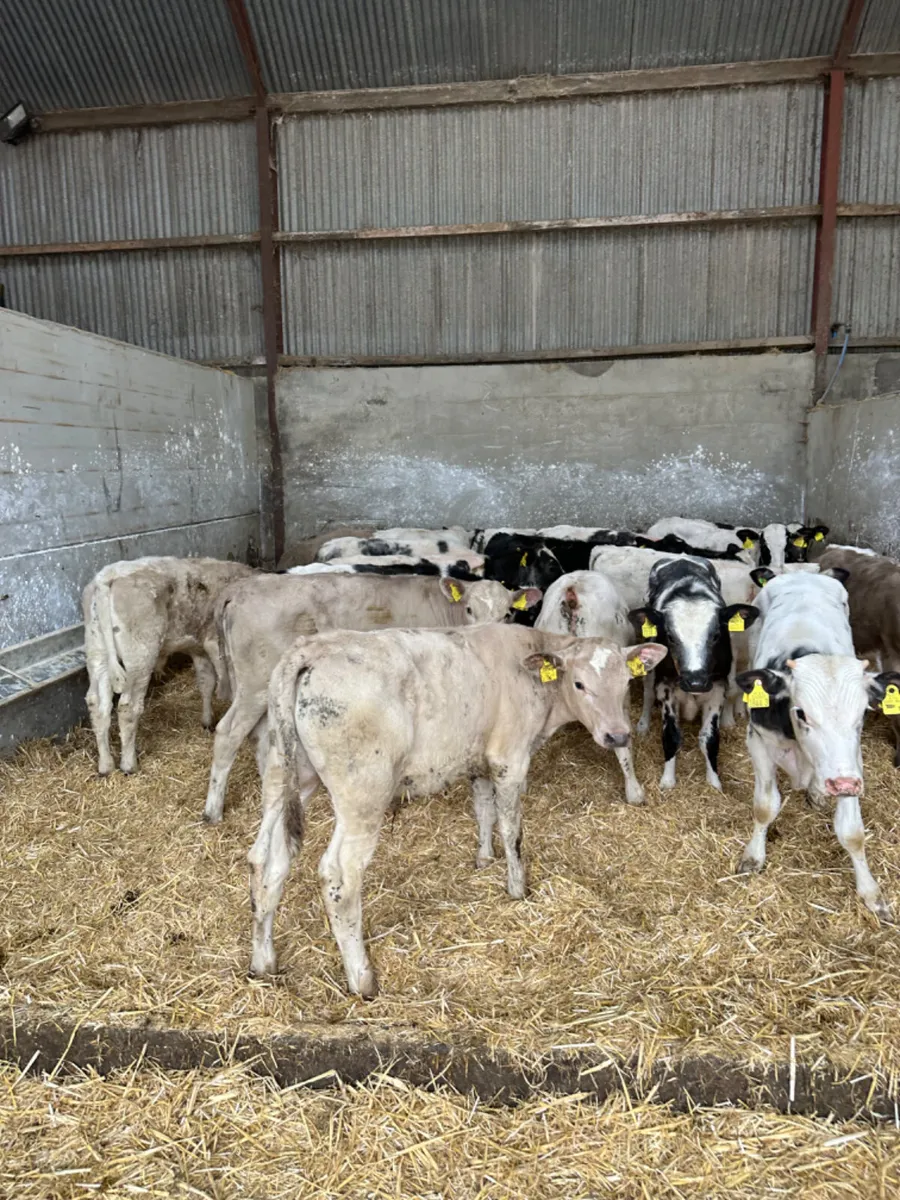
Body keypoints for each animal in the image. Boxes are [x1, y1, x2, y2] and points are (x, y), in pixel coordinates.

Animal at [82, 556, 255, 777]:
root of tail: (107, 576)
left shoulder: (198, 648)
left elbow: (206, 683)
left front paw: (207, 721)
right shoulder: (215, 644)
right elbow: (230, 686)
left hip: (97, 652)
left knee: (97, 704)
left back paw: (105, 765)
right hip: (140, 656)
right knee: (128, 707)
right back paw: (129, 764)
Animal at [203, 573, 541, 823]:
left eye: (508, 613)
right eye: (470, 609)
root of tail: (241, 588)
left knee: (261, 737)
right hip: (254, 685)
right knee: (228, 732)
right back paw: (213, 810)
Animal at [247, 624, 668, 993]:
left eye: (626, 683)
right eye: (579, 684)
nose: (618, 735)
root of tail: (313, 648)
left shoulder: (477, 760)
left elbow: (483, 809)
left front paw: (483, 858)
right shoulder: (510, 759)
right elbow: (511, 828)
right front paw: (518, 887)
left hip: (286, 777)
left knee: (266, 858)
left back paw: (263, 962)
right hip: (362, 795)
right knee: (339, 877)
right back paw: (362, 979)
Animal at [628, 558, 759, 791]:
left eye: (716, 635)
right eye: (670, 636)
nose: (695, 682)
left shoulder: (717, 688)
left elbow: (709, 738)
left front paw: (714, 782)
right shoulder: (667, 688)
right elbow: (671, 736)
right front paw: (668, 781)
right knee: (648, 691)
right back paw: (643, 724)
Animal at [734, 570, 899, 920]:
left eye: (864, 713)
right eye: (801, 712)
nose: (841, 784)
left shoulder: (851, 762)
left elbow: (852, 833)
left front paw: (871, 893)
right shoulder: (758, 743)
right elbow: (764, 807)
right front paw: (753, 856)